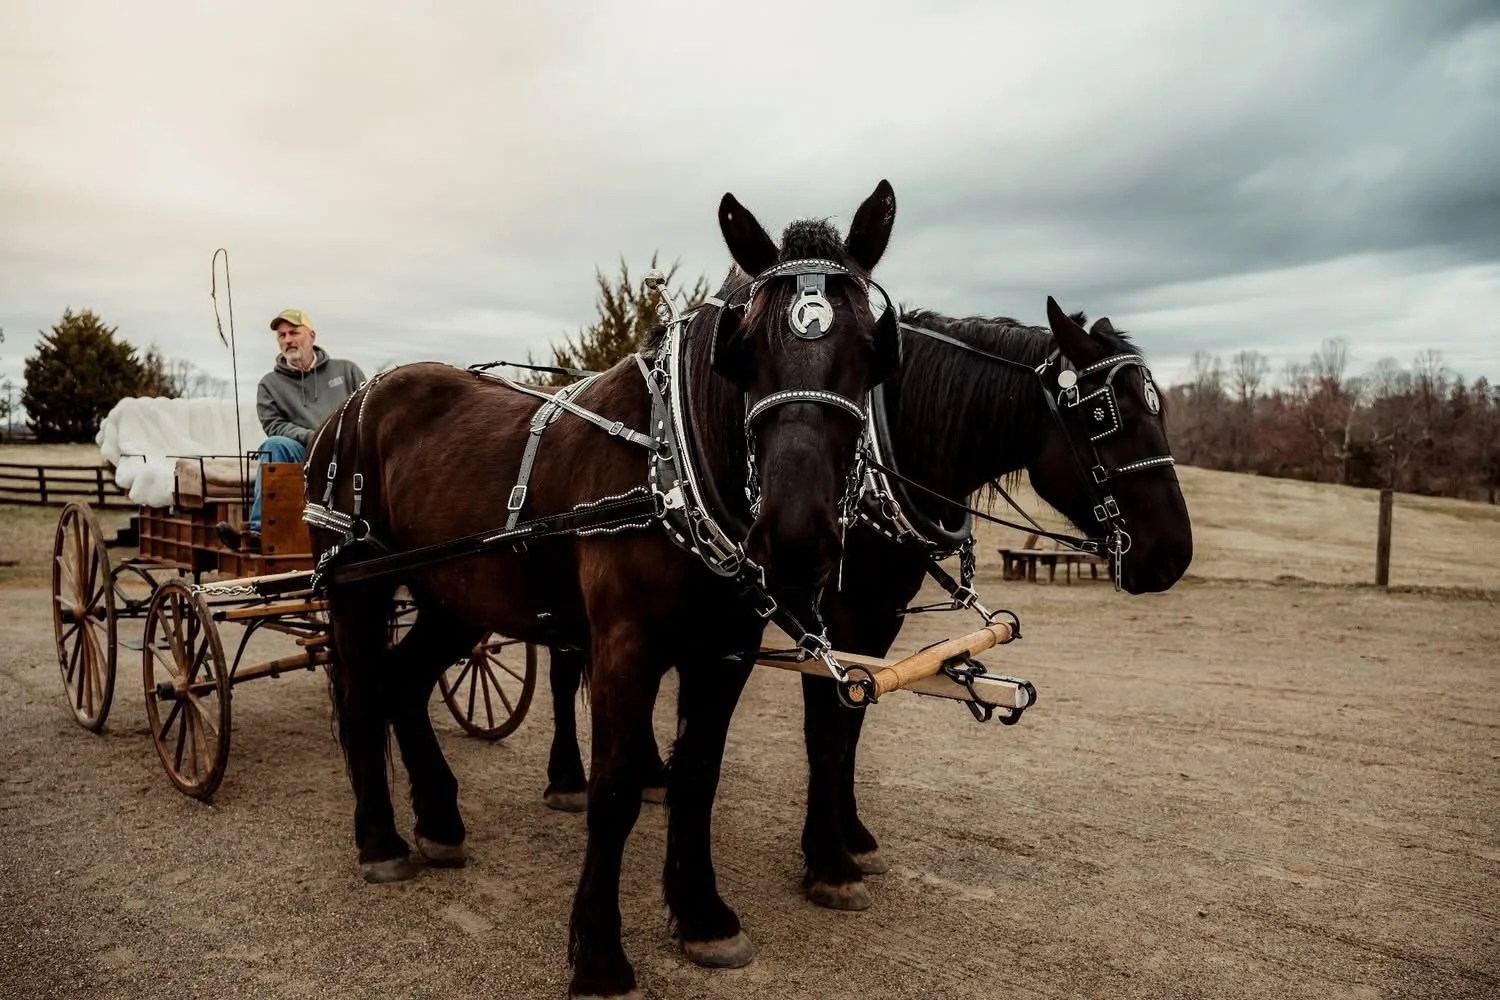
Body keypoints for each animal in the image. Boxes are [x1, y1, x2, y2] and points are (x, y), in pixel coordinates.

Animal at [303, 180, 904, 999]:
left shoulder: (725, 653)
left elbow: (696, 778)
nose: (794, 534)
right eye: (745, 351)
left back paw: (438, 822)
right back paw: (381, 840)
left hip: (455, 596)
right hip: (358, 585)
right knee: (364, 694)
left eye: (873, 352)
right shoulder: (625, 644)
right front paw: (598, 953)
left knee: (404, 682)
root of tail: (355, 400)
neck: (671, 460)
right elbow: (615, 791)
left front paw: (703, 915)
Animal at [541, 295, 1194, 911]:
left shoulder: (877, 620)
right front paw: (829, 862)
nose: (1173, 554)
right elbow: (827, 733)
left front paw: (850, 836)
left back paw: (651, 773)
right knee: (565, 670)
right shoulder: (834, 621)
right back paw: (567, 779)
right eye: (1105, 416)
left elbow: (853, 727)